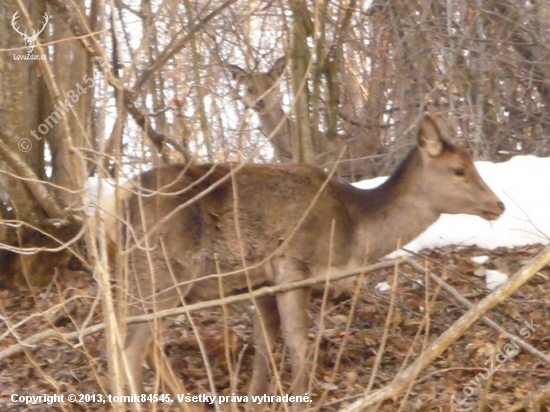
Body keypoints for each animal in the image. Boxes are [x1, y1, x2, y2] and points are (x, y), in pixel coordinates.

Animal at [101, 114, 506, 410]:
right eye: (459, 169)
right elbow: (298, 342)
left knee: (139, 342)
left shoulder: (262, 281)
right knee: (130, 346)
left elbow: (265, 344)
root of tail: (118, 205)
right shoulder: (293, 264)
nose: (499, 205)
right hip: (162, 271)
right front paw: (300, 400)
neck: (353, 231)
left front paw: (253, 401)